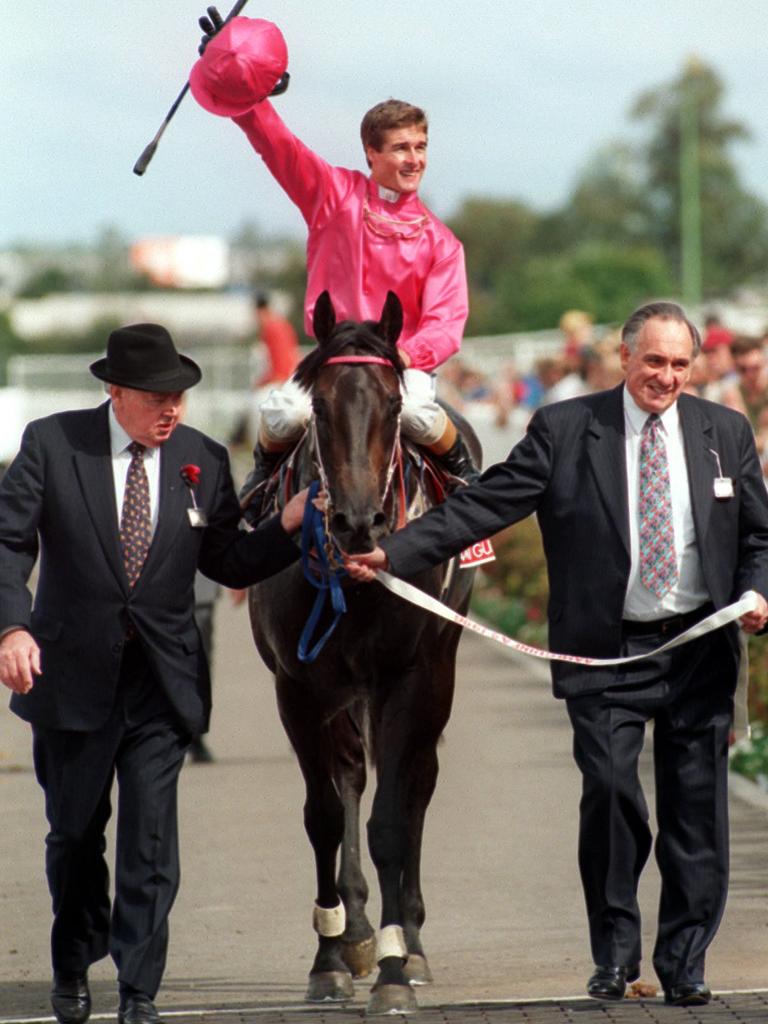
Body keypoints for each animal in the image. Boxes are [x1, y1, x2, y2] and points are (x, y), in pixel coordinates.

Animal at [249, 290, 483, 1015]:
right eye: (320, 407)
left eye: (391, 403)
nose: (357, 523)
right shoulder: (297, 684)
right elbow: (325, 813)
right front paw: (331, 957)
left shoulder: (405, 676)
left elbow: (391, 820)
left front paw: (395, 967)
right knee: (352, 776)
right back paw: (355, 931)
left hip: (439, 668)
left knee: (416, 786)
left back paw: (409, 934)